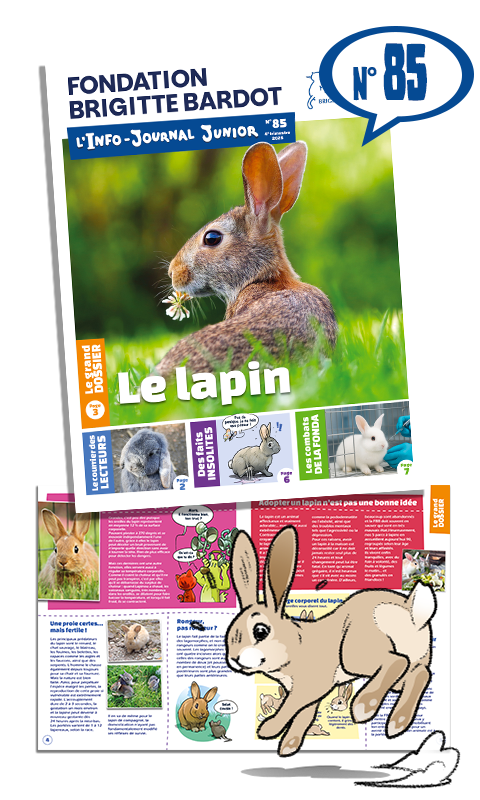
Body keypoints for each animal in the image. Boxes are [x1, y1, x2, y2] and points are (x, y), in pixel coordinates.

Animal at [225, 525, 436, 756]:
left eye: (260, 631)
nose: (233, 659)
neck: (295, 644)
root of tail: (411, 611)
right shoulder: (312, 696)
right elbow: (303, 717)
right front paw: (289, 746)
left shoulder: (308, 688)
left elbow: (290, 707)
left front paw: (268, 729)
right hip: (406, 667)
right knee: (420, 673)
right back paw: (398, 722)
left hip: (352, 654)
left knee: (397, 661)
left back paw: (364, 707)